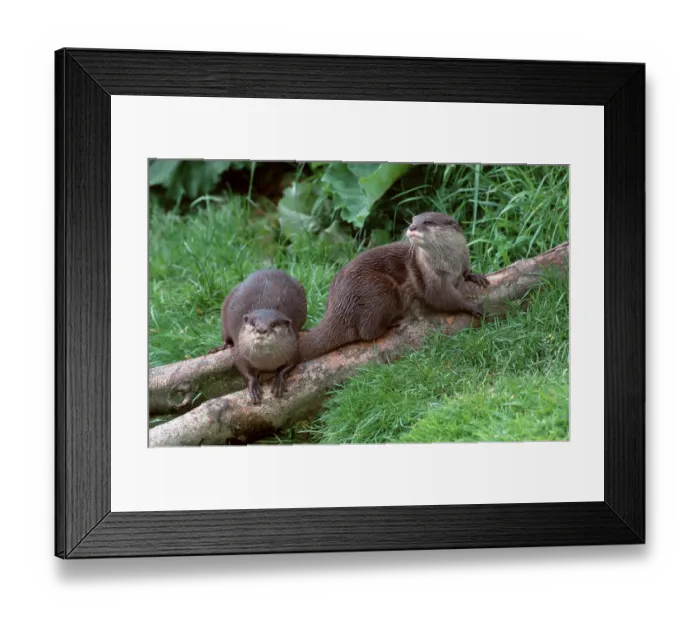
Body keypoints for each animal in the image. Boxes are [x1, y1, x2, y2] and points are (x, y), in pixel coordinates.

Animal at [218, 269, 307, 404]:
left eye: (274, 324)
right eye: (253, 322)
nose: (261, 329)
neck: (265, 363)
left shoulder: (293, 349)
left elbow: (289, 365)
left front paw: (278, 381)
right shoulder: (241, 353)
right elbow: (244, 369)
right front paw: (254, 386)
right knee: (226, 336)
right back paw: (224, 346)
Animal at [300, 212, 489, 361]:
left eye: (428, 222)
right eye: (413, 219)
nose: (412, 226)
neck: (450, 265)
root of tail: (338, 305)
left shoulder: (462, 261)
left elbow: (465, 273)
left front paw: (475, 276)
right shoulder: (432, 278)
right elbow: (443, 298)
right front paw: (470, 306)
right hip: (379, 289)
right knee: (366, 333)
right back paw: (391, 324)